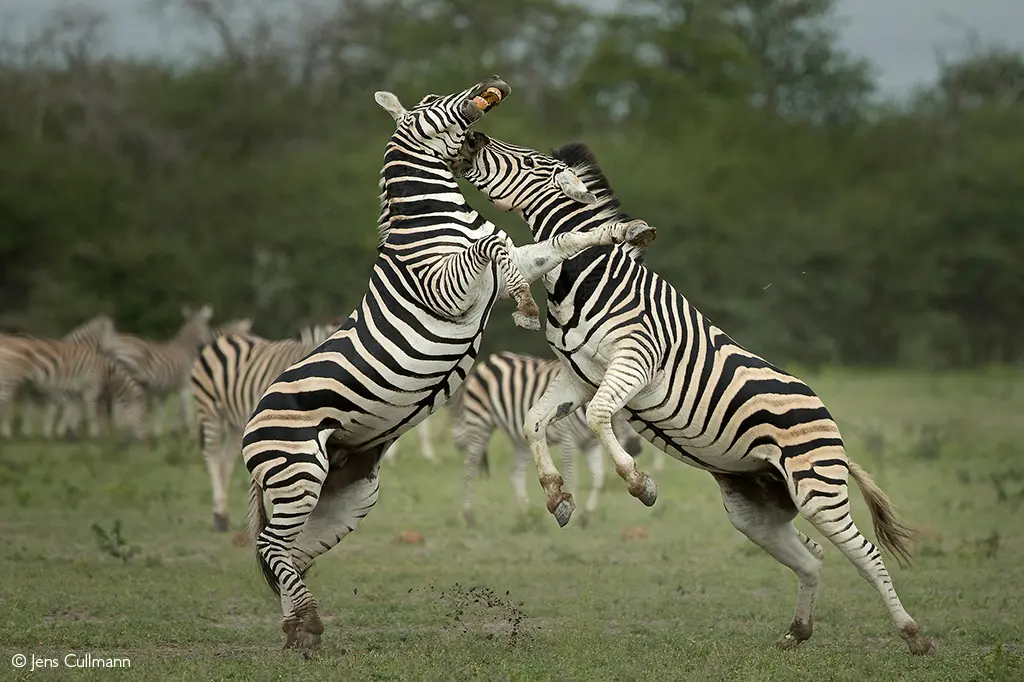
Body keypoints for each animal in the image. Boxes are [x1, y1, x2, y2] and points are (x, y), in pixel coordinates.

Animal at [190, 321, 340, 532]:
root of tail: (222, 338)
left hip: (237, 424)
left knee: (226, 459)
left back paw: (224, 515)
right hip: (210, 409)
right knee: (213, 454)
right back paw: (219, 515)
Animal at [451, 351, 643, 527]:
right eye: (625, 415)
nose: (636, 449)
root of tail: (492, 359)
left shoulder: (591, 444)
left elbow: (599, 477)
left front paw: (586, 515)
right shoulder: (568, 440)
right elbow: (573, 476)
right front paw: (572, 514)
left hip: (519, 440)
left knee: (516, 472)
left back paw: (527, 514)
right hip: (479, 423)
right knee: (470, 469)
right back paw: (468, 515)